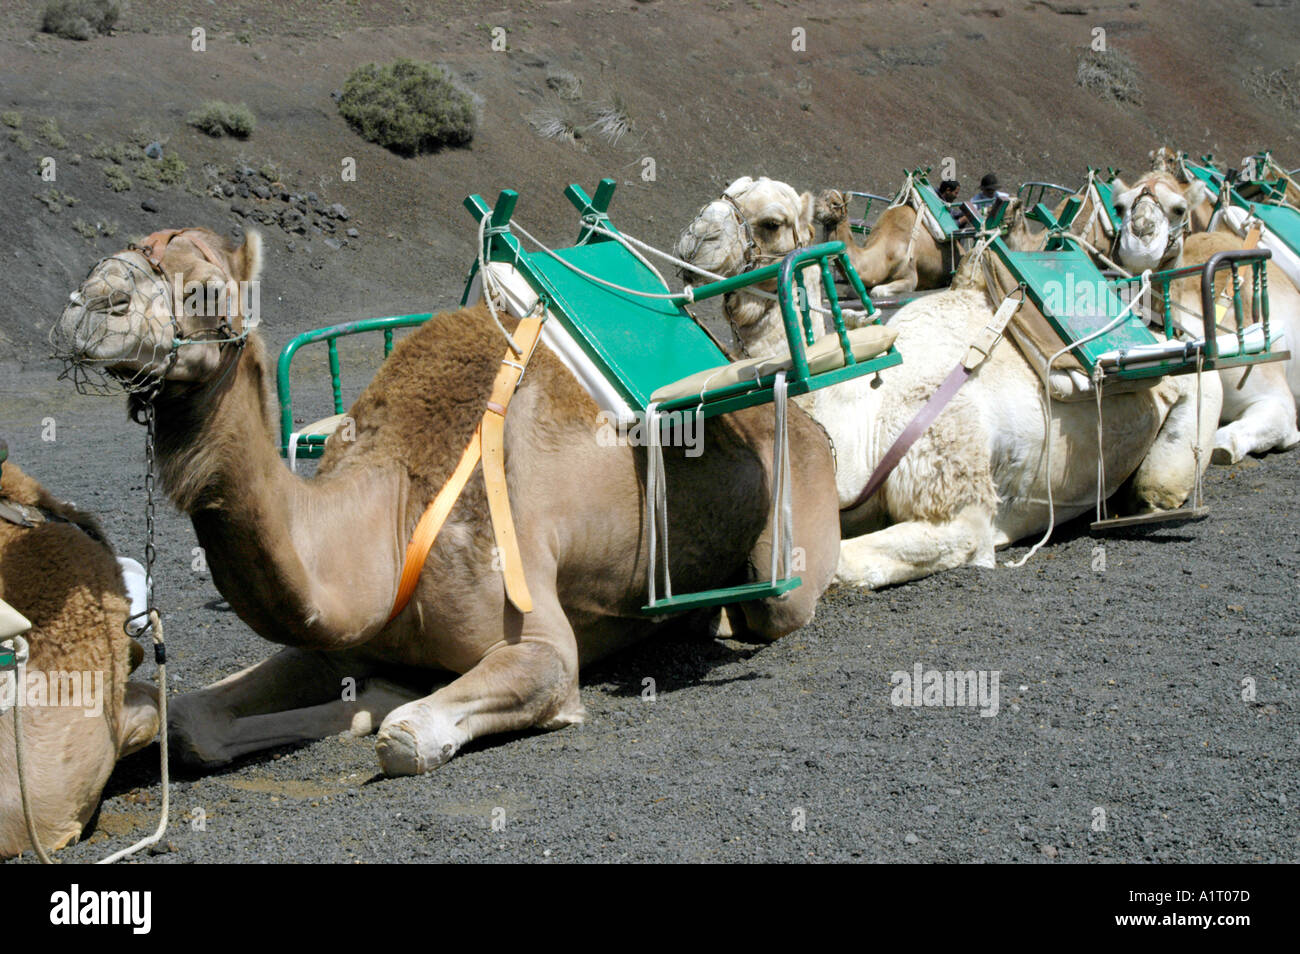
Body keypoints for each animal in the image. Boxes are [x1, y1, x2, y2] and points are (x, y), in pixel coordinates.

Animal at [50, 230, 842, 779]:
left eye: (206, 292)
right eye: (107, 259)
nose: (87, 305)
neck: (396, 510)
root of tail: (812, 426)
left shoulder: (543, 645)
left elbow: (405, 736)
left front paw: (377, 712)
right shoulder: (338, 634)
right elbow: (187, 719)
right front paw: (362, 702)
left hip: (792, 543)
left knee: (774, 606)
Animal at [806, 188, 951, 297]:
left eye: (835, 203)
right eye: (818, 197)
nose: (814, 208)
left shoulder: (909, 275)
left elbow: (877, 291)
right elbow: (851, 290)